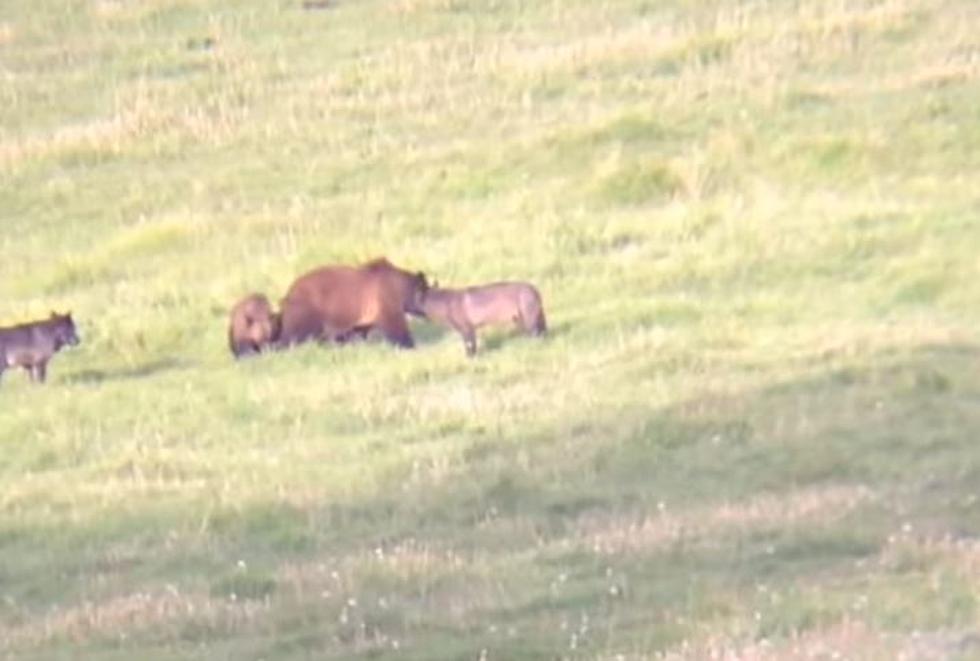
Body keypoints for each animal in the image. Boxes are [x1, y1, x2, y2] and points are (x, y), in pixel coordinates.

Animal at [276, 258, 428, 350]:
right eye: (426, 292)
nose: (426, 313)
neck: (399, 286)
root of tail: (289, 292)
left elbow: (358, 330)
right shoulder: (385, 298)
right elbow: (395, 325)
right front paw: (410, 345)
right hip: (307, 310)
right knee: (294, 335)